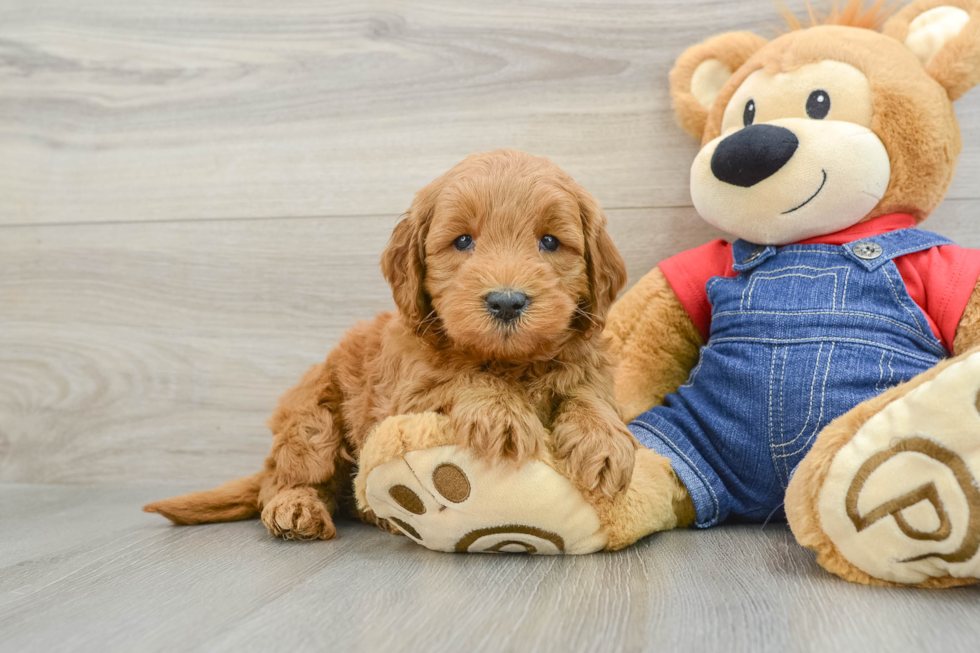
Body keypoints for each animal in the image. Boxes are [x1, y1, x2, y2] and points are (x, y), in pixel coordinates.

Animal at [145, 149, 636, 540]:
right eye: (463, 241)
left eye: (550, 241)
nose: (507, 301)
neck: (509, 362)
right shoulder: (406, 393)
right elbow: (461, 377)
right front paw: (502, 413)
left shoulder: (588, 361)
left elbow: (590, 394)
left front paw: (603, 440)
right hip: (312, 420)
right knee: (284, 480)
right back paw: (297, 508)